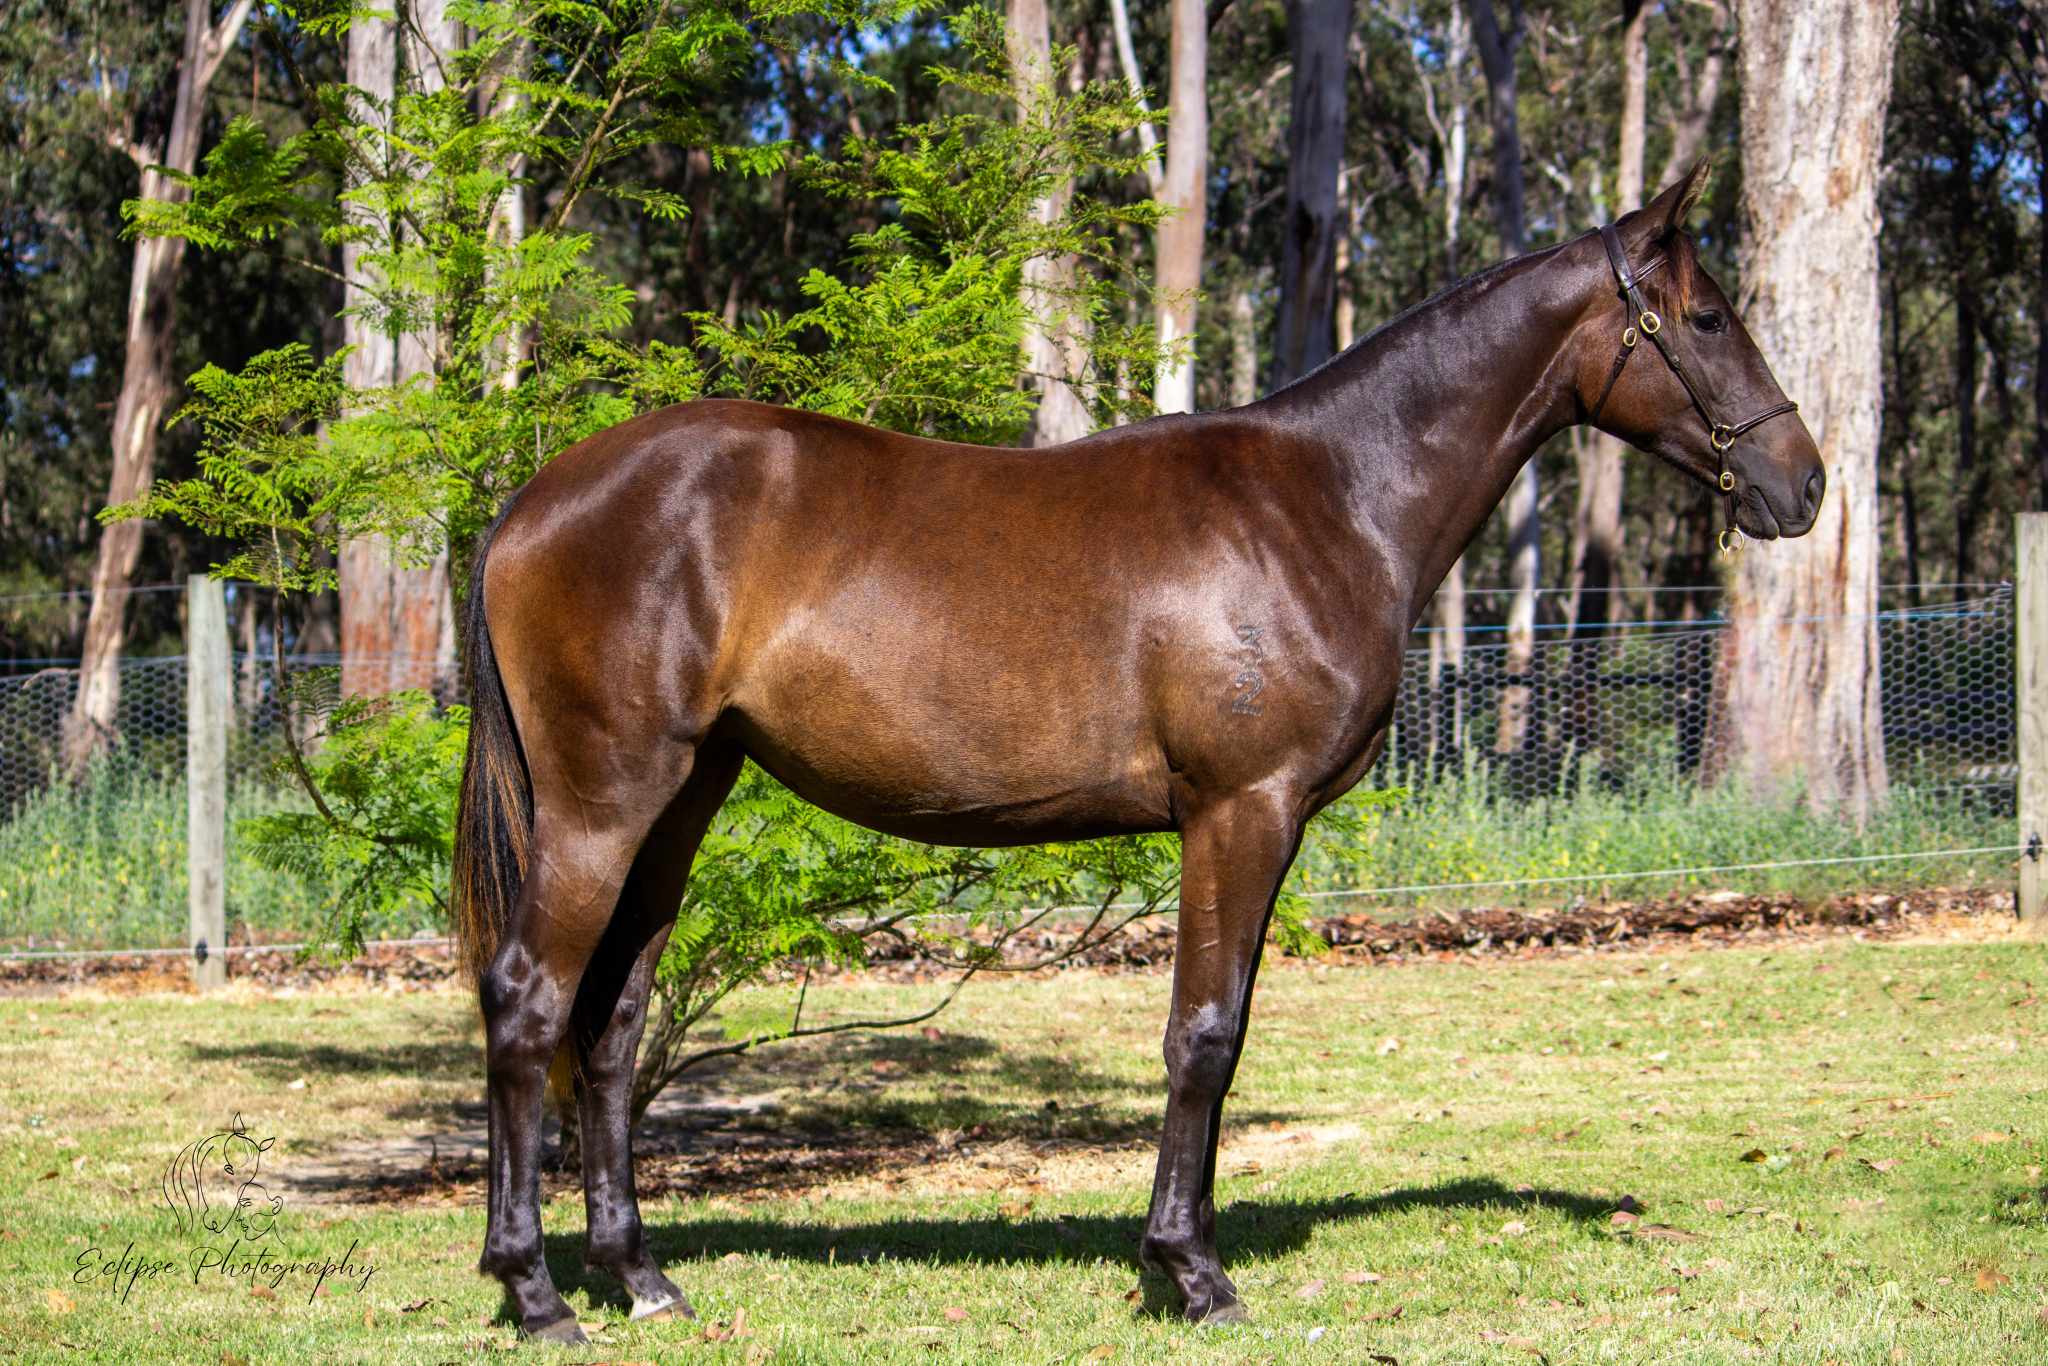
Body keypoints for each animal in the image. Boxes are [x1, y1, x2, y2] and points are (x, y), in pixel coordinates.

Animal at [450, 160, 1824, 1342]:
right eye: (1706, 317)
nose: (1801, 483)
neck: (1331, 499)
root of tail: (533, 502)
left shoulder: (1262, 824)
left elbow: (1229, 1028)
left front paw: (1181, 1250)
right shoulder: (1238, 809)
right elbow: (1202, 1032)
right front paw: (1190, 1272)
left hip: (680, 801)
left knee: (611, 1020)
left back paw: (639, 1277)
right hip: (601, 805)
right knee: (527, 998)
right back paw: (536, 1293)